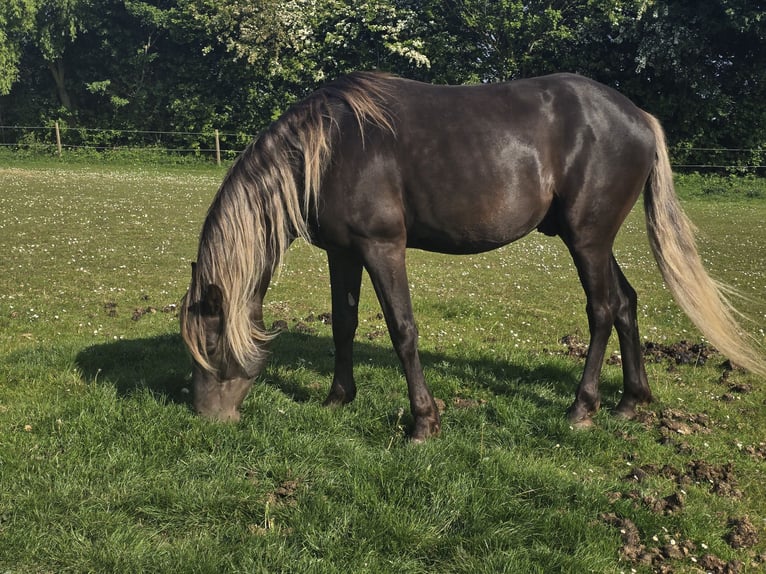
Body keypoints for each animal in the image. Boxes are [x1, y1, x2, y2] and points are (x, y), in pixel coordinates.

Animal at [180, 71, 765, 441]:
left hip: (588, 240)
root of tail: (639, 116)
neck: (330, 148)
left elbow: (403, 330)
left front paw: (423, 423)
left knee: (602, 309)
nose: (206, 417)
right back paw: (629, 401)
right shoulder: (343, 252)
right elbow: (344, 323)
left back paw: (582, 408)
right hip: (592, 240)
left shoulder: (382, 247)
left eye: (208, 346)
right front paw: (337, 399)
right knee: (625, 302)